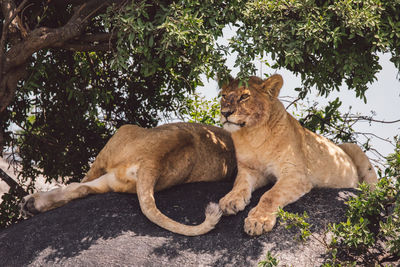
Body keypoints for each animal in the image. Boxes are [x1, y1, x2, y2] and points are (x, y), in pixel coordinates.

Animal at [20, 123, 236, 237]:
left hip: (120, 135)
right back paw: (31, 205)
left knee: (80, 183)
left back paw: (30, 203)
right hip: (115, 179)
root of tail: (154, 160)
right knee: (81, 188)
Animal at [217, 74, 376, 236]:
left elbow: (270, 195)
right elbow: (240, 184)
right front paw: (230, 200)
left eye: (244, 96)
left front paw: (258, 221)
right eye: (224, 96)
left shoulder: (295, 174)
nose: (225, 113)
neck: (252, 135)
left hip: (354, 149)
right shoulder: (251, 170)